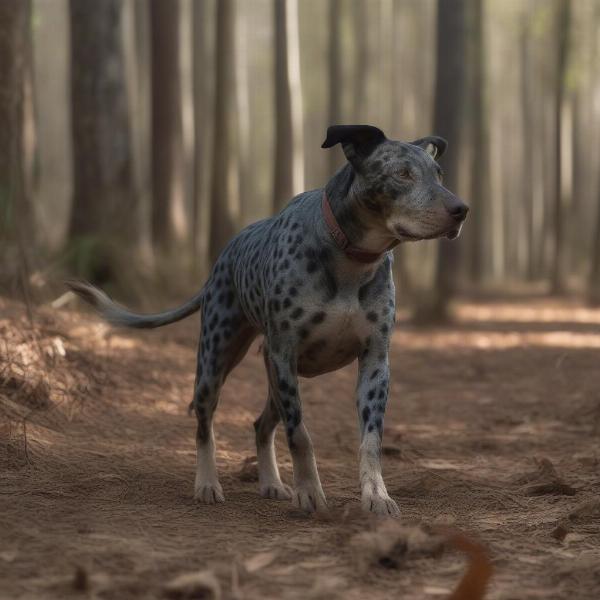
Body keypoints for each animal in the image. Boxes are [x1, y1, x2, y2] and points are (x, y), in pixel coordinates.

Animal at [67, 125, 468, 516]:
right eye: (402, 173)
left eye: (438, 173)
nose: (461, 209)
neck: (350, 259)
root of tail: (222, 258)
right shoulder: (284, 354)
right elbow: (300, 434)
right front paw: (309, 492)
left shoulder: (375, 363)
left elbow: (370, 440)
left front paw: (375, 495)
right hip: (219, 363)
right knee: (204, 425)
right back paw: (207, 483)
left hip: (275, 380)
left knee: (261, 425)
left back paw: (271, 483)